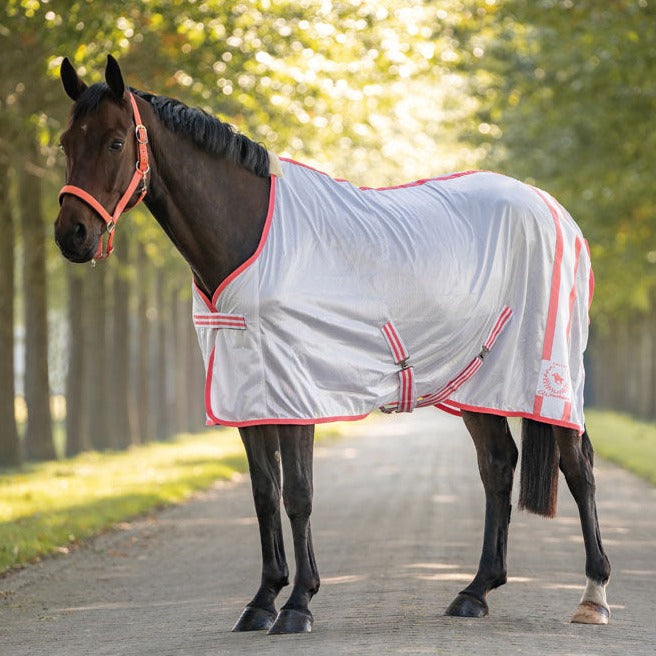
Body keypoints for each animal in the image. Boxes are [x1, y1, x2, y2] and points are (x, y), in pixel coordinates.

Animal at [54, 55, 611, 634]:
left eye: (116, 142)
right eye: (66, 143)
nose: (72, 235)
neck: (250, 235)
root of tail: (553, 209)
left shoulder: (296, 391)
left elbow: (298, 494)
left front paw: (298, 604)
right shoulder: (246, 394)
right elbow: (264, 494)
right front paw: (261, 601)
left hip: (549, 376)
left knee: (579, 468)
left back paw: (592, 596)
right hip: (479, 383)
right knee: (498, 466)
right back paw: (475, 591)